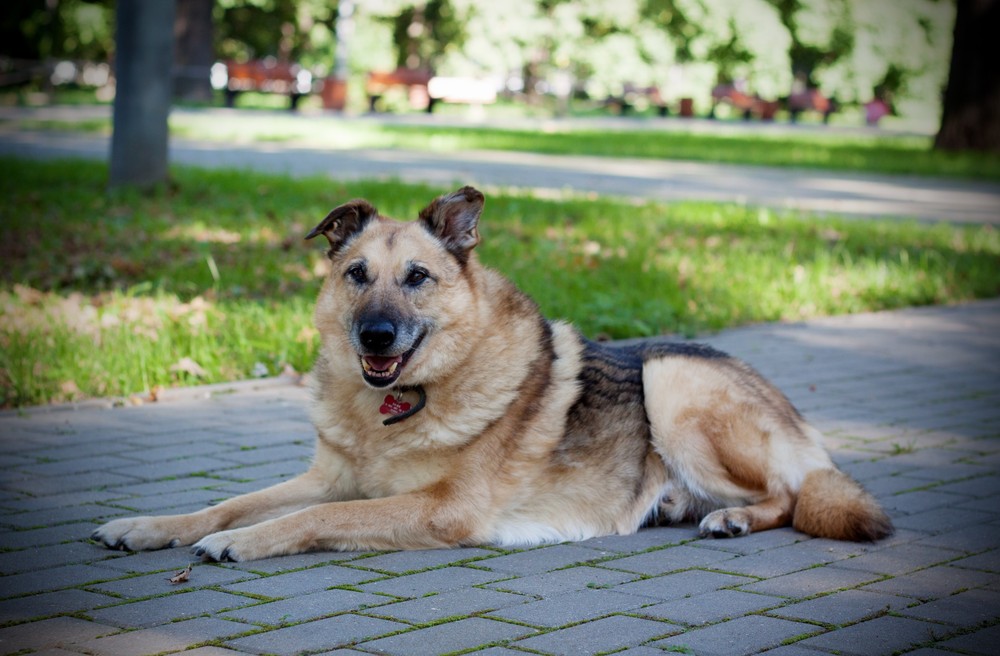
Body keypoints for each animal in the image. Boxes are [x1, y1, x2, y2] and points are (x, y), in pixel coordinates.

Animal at [93, 186, 892, 561]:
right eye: (357, 275)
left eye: (417, 278)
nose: (374, 334)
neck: (396, 410)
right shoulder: (331, 477)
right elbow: (228, 502)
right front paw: (151, 526)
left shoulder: (436, 509)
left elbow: (313, 519)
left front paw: (245, 542)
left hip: (672, 381)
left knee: (792, 494)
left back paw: (735, 516)